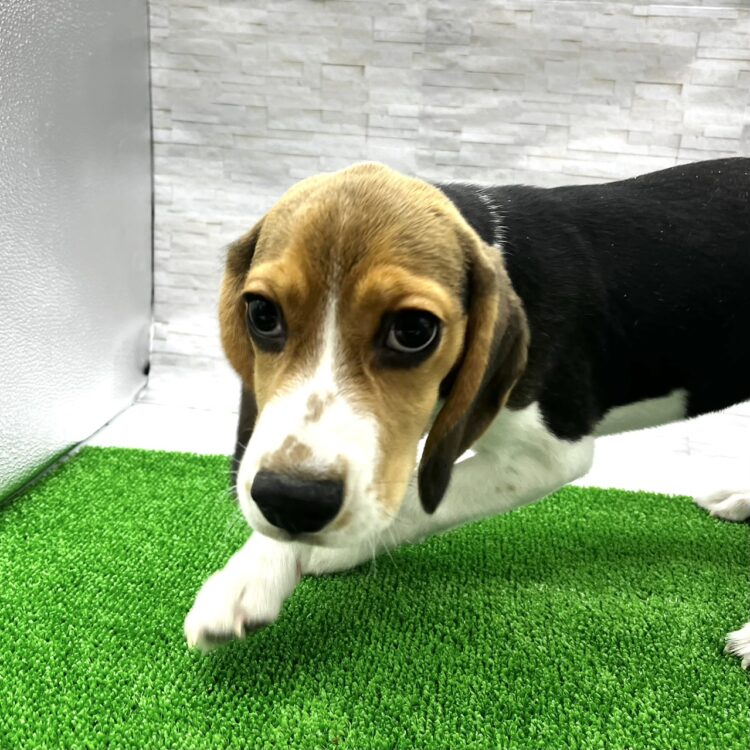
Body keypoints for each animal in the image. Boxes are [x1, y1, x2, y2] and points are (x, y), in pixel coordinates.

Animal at [184, 157, 750, 666]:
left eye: (414, 330)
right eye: (262, 314)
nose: (292, 499)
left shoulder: (546, 455)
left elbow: (414, 500)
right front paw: (252, 574)